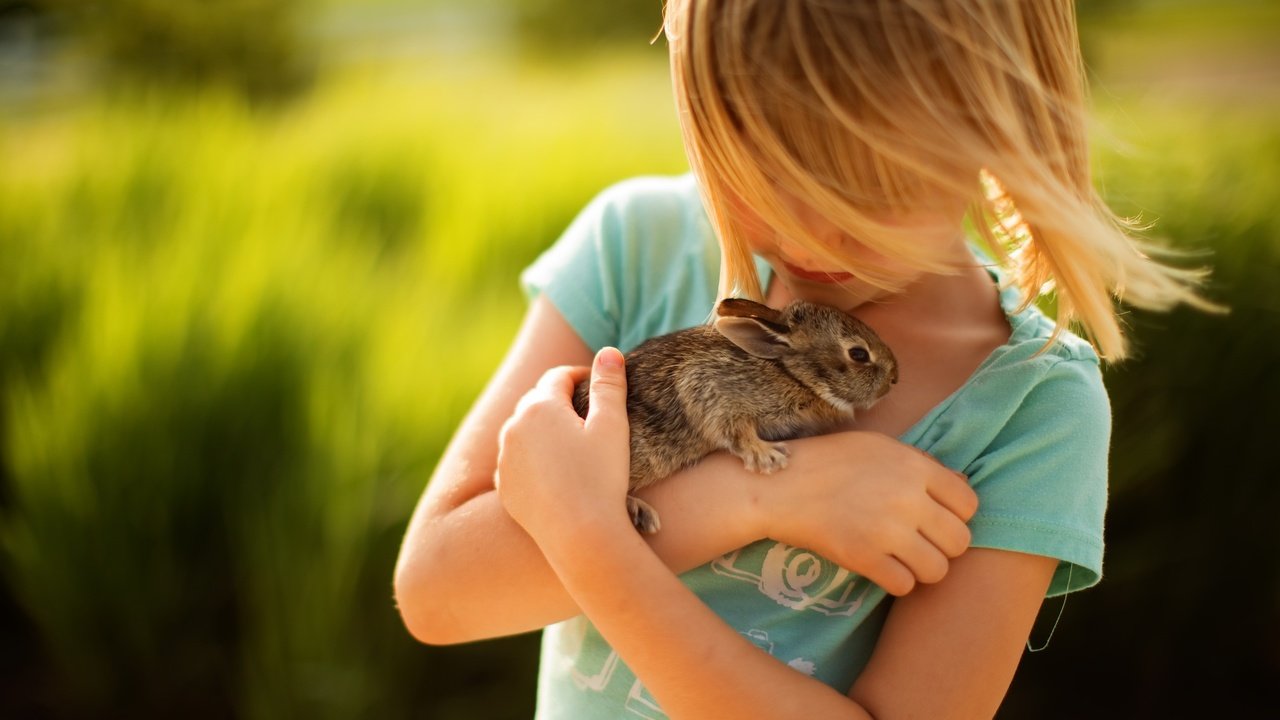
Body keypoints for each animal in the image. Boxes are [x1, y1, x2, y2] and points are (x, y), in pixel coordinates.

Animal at [576, 297, 896, 532]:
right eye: (858, 354)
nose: (895, 378)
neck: (792, 373)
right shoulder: (710, 385)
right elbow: (734, 429)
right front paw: (767, 456)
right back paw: (641, 513)